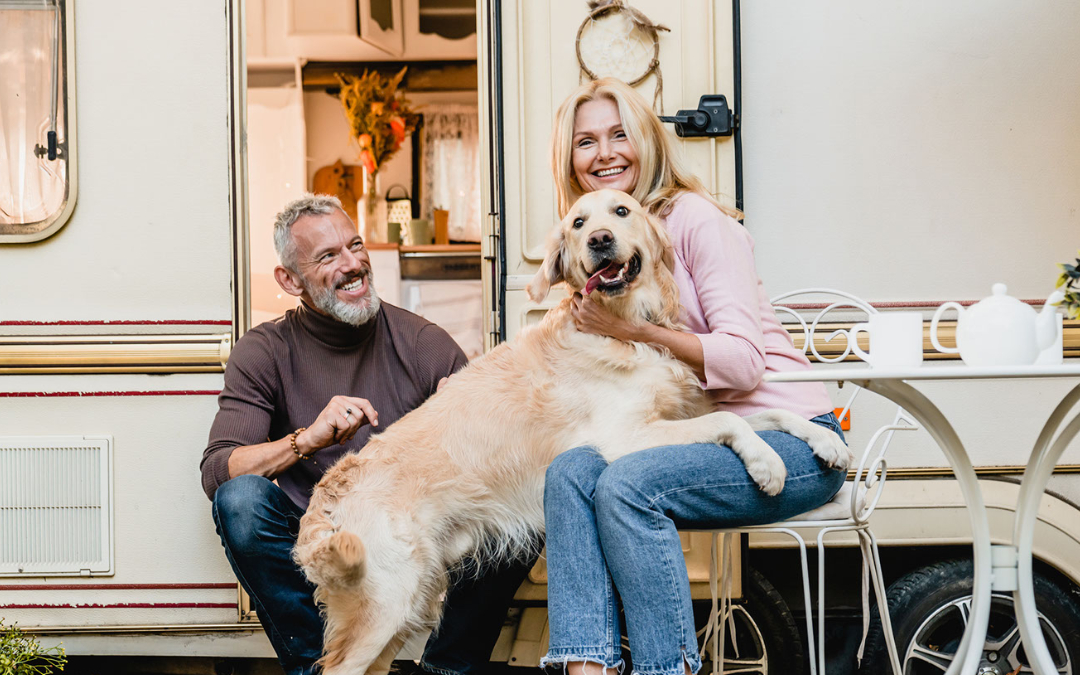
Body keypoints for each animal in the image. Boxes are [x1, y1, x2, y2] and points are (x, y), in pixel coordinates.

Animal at [295, 190, 851, 673]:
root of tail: (325, 500)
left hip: (412, 598)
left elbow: (768, 415)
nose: (600, 239)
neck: (624, 330)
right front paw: (767, 464)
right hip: (386, 602)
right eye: (578, 224)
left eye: (622, 211)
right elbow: (729, 419)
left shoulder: (673, 417)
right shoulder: (625, 436)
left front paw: (825, 440)